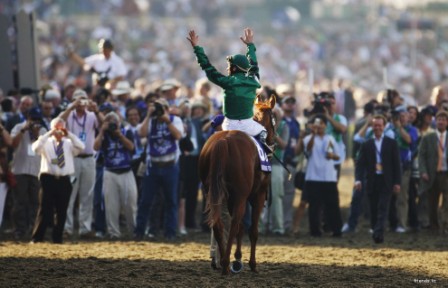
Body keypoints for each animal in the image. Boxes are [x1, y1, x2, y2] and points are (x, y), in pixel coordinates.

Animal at [200, 94, 276, 274]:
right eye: (275, 120)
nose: (273, 143)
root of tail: (223, 141)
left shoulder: (232, 198)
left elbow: (240, 228)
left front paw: (238, 258)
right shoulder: (257, 195)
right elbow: (251, 230)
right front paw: (252, 264)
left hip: (211, 192)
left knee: (218, 224)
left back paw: (224, 263)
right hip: (241, 195)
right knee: (233, 225)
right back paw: (226, 264)